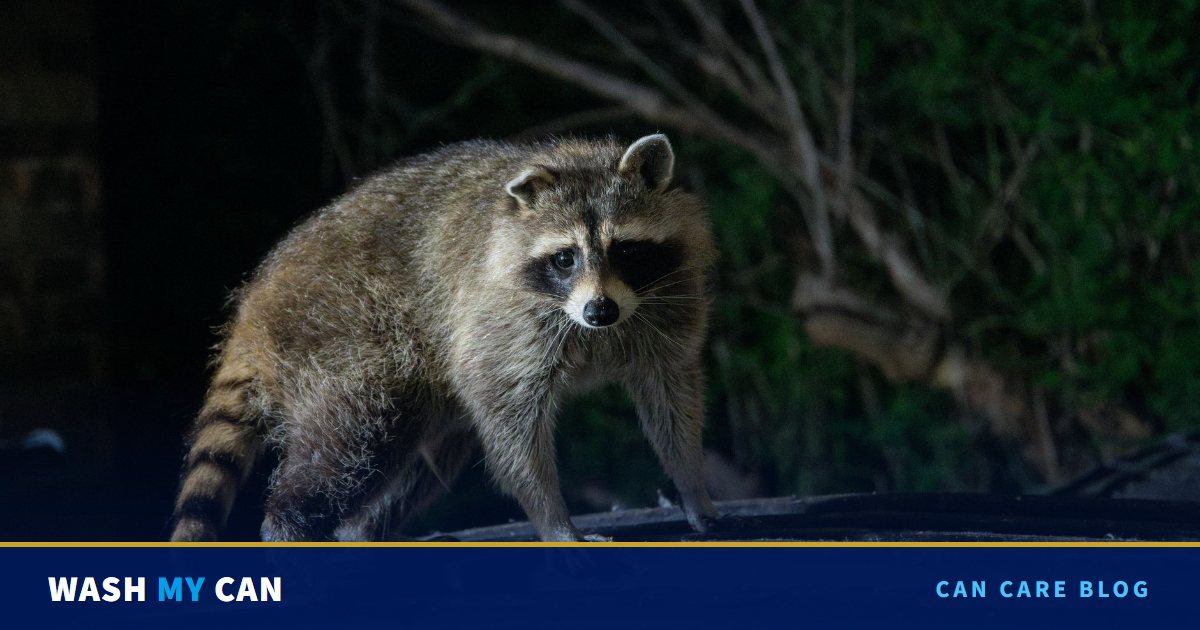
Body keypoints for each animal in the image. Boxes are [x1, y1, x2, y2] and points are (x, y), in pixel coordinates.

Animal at [170, 134, 719, 542]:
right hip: (342, 334)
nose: (599, 311)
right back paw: (293, 525)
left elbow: (672, 399)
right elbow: (509, 417)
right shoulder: (500, 318)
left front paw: (693, 486)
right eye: (565, 258)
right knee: (354, 438)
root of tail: (251, 310)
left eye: (625, 249)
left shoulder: (669, 304)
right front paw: (553, 520)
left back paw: (365, 530)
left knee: (420, 452)